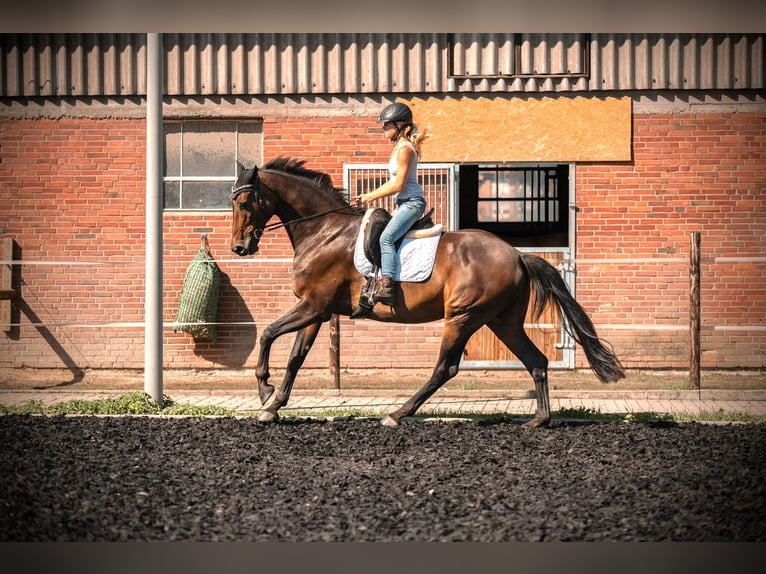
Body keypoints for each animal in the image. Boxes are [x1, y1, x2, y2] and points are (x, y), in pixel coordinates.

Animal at [228, 158, 624, 428]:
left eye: (245, 203)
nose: (239, 248)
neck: (324, 230)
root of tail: (516, 254)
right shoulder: (317, 310)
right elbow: (295, 357)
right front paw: (273, 407)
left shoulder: (313, 305)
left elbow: (267, 334)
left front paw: (264, 391)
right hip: (502, 321)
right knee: (536, 361)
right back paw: (539, 420)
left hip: (463, 317)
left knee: (445, 368)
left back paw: (397, 414)